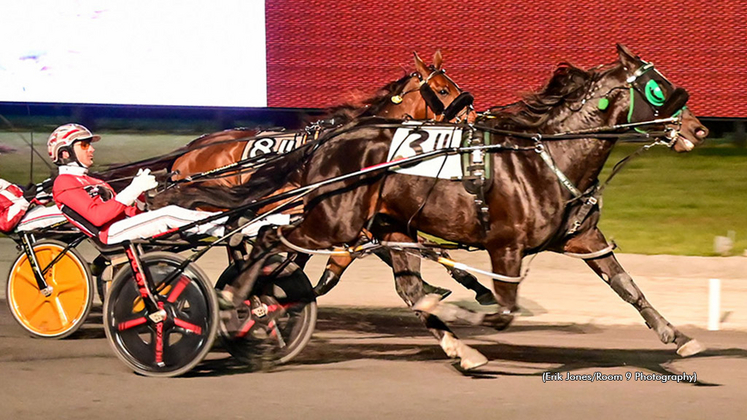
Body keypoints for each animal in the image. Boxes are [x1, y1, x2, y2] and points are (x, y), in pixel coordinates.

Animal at [207, 44, 712, 370]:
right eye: (658, 89)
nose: (699, 129)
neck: (545, 157)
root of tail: (328, 142)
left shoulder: (582, 238)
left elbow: (627, 286)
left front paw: (677, 337)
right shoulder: (505, 246)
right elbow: (505, 309)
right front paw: (471, 311)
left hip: (390, 227)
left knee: (407, 288)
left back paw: (459, 348)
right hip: (334, 222)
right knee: (269, 238)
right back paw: (240, 300)